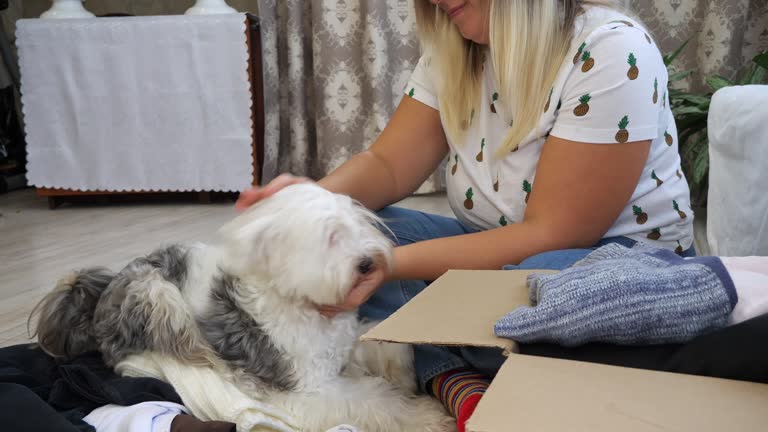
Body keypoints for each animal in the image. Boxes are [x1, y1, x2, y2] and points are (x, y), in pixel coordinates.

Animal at [31, 184, 456, 432]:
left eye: (358, 224)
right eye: (331, 236)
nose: (368, 262)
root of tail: (101, 292)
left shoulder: (346, 343)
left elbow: (389, 346)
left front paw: (404, 377)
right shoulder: (311, 388)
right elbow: (375, 402)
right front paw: (427, 417)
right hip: (156, 293)